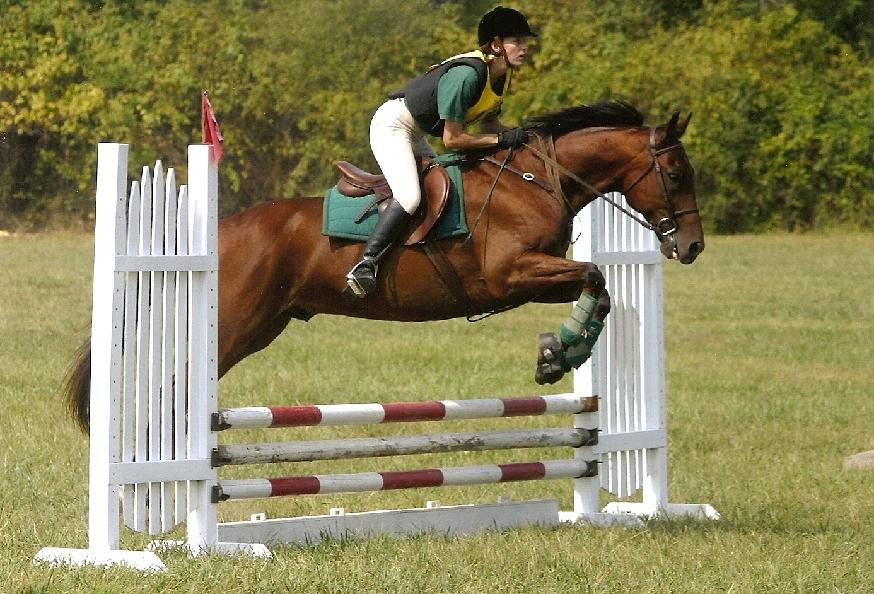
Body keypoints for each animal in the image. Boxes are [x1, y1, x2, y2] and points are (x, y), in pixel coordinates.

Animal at [65, 100, 704, 432]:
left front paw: (559, 353)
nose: (693, 247)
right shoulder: (511, 275)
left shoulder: (532, 279)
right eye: (676, 174)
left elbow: (601, 286)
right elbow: (595, 275)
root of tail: (222, 229)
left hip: (263, 325)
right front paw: (558, 353)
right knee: (180, 385)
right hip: (235, 325)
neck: (533, 180)